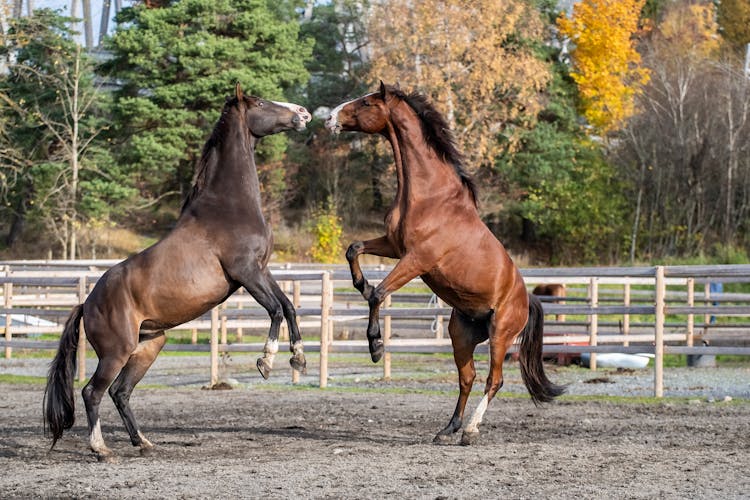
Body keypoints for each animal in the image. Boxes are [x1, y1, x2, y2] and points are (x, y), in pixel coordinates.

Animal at [44, 85, 312, 460]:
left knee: (120, 392)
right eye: (260, 103)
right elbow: (274, 309)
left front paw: (298, 358)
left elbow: (288, 306)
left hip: (149, 346)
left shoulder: (261, 269)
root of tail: (88, 303)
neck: (228, 206)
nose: (303, 113)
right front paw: (266, 362)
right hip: (116, 352)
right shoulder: (246, 272)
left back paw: (143, 442)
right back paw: (101, 449)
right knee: (92, 392)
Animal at [326, 83, 568, 446]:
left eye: (367, 103)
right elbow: (353, 250)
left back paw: (470, 430)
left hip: (500, 335)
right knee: (467, 377)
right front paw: (360, 283)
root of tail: (526, 298)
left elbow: (379, 294)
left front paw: (376, 345)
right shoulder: (395, 246)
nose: (329, 118)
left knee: (494, 380)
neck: (430, 196)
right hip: (461, 334)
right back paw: (448, 428)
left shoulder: (417, 259)